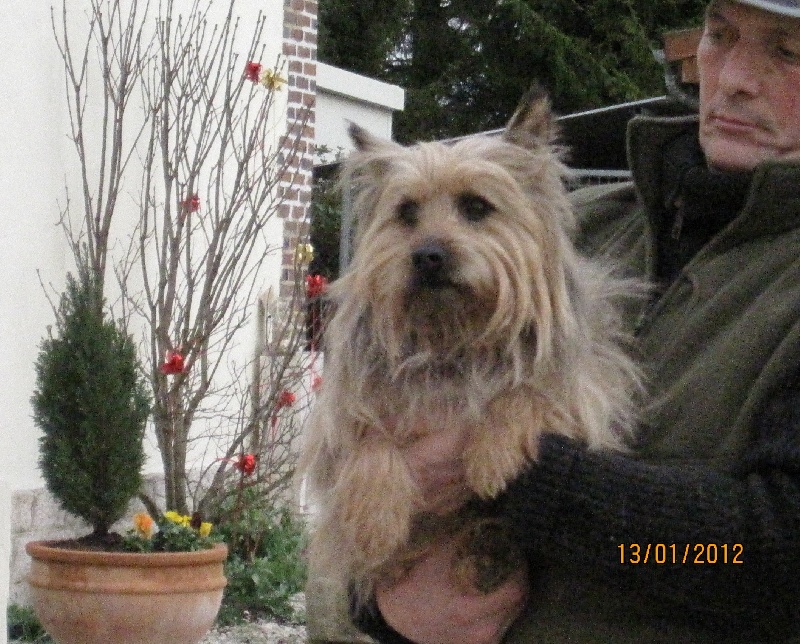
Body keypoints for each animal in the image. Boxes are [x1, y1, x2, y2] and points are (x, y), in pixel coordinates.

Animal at [298, 87, 641, 606]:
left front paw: (494, 455)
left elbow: (527, 392)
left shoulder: (589, 390)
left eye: (476, 207)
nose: (428, 255)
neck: (452, 334)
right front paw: (376, 518)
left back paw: (488, 551)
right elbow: (370, 435)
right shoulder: (338, 415)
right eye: (407, 213)